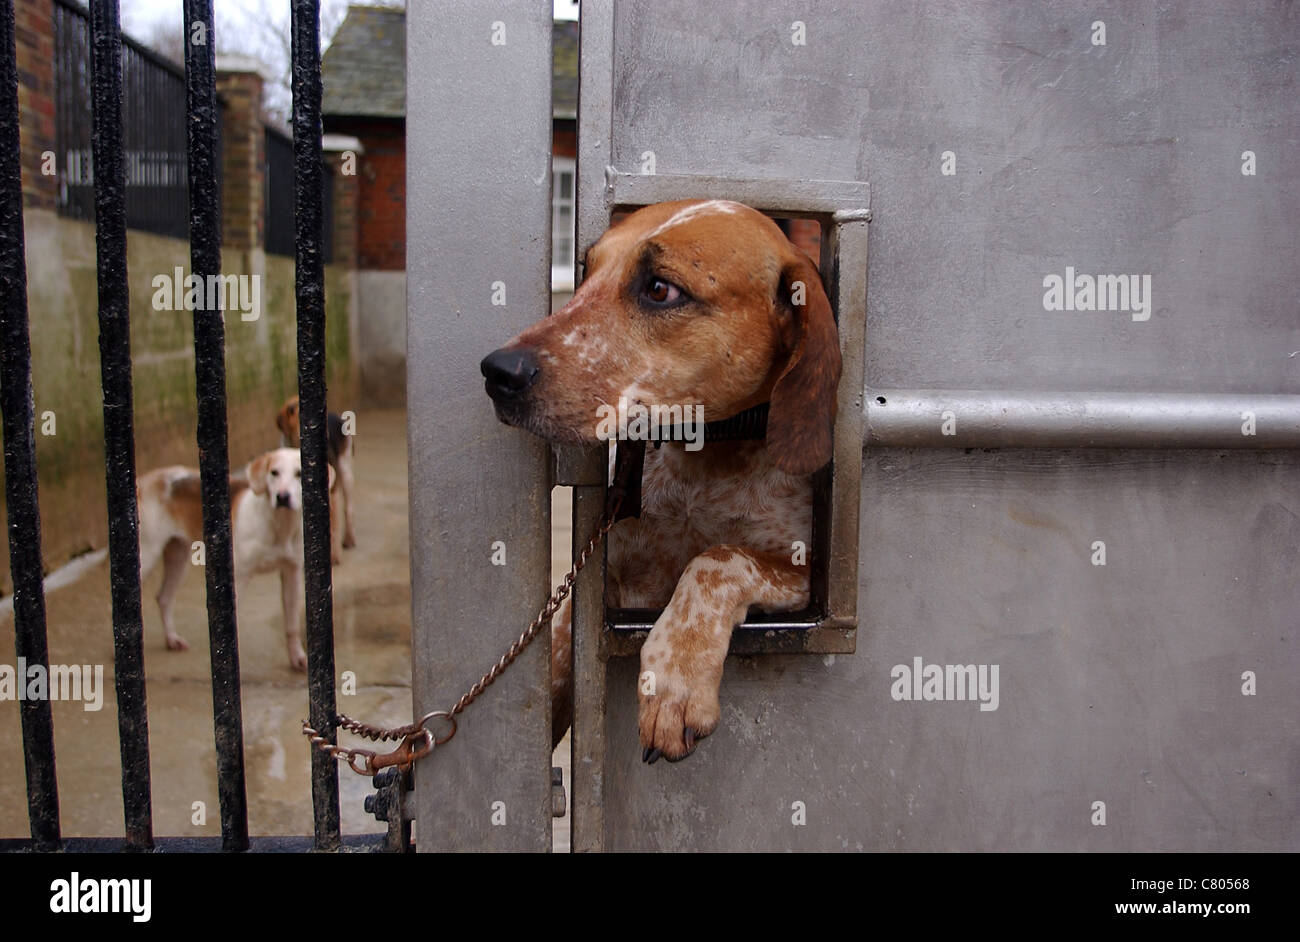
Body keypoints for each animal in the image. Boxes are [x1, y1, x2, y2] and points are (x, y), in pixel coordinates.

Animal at [135, 446, 330, 670]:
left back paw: (172, 639)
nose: (282, 497)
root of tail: (146, 479)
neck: (278, 525)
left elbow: (291, 625)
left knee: (164, 598)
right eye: (274, 473)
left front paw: (297, 657)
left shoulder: (292, 573)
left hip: (178, 557)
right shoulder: (239, 576)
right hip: (147, 556)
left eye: (299, 474)